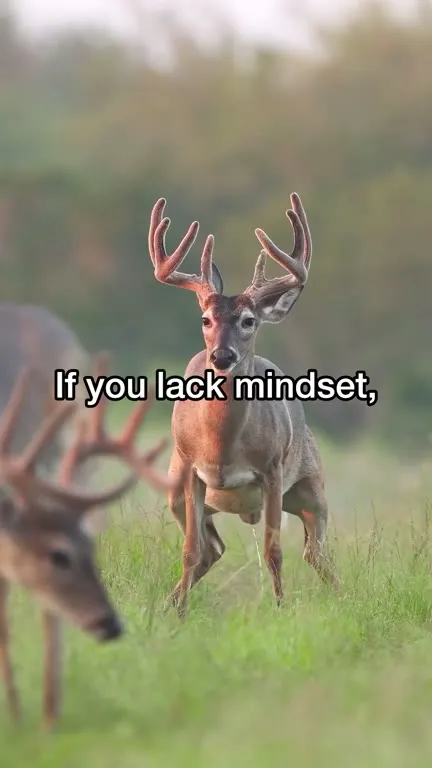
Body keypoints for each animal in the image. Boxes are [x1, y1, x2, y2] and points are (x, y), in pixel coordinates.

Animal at [147, 193, 340, 619]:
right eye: (205, 318)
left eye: (249, 320)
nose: (222, 355)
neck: (221, 447)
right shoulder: (190, 469)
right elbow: (190, 552)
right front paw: (180, 614)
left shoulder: (272, 470)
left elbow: (273, 551)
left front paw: (281, 610)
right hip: (175, 491)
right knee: (212, 550)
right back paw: (169, 603)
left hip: (312, 487)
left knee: (317, 554)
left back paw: (345, 597)